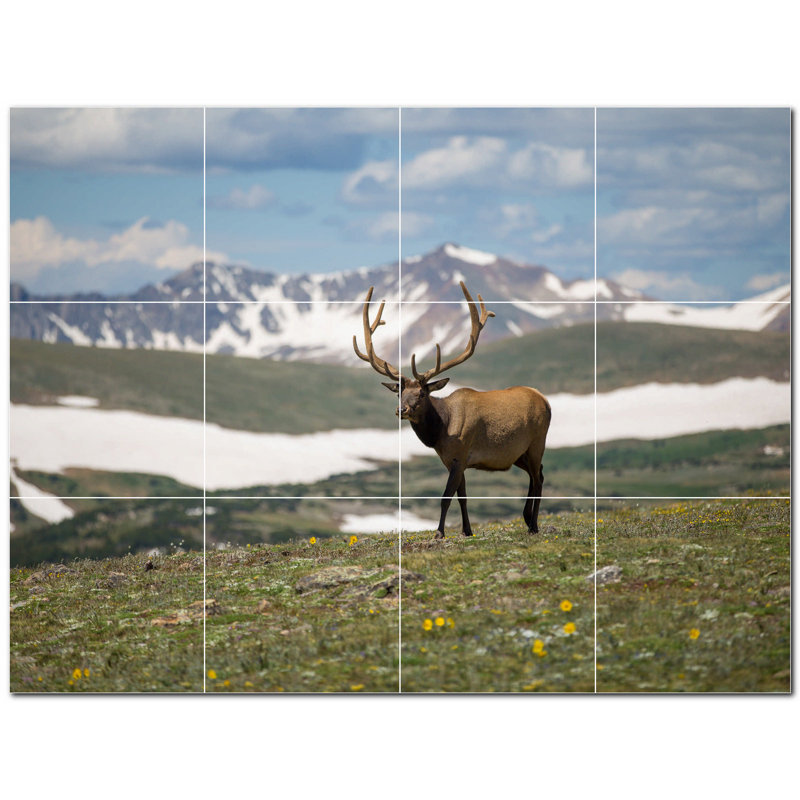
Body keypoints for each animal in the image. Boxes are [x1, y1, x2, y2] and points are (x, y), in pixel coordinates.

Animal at [353, 281, 551, 539]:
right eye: (399, 393)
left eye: (423, 393)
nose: (401, 409)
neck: (441, 432)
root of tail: (545, 400)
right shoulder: (452, 460)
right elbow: (462, 497)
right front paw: (467, 531)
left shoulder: (460, 452)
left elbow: (446, 496)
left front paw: (439, 533)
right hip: (518, 453)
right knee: (538, 474)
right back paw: (527, 519)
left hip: (538, 441)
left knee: (538, 478)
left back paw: (534, 524)